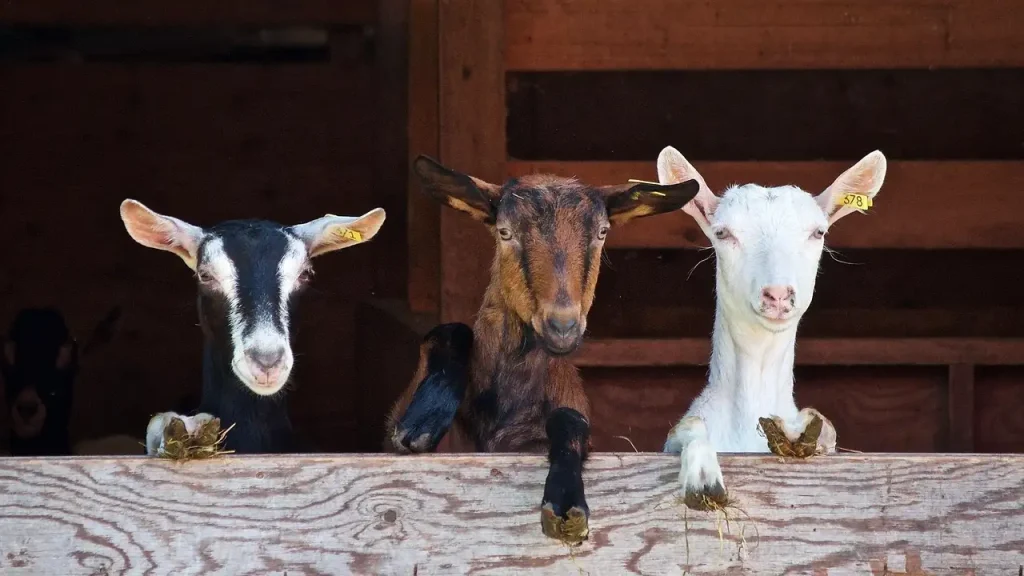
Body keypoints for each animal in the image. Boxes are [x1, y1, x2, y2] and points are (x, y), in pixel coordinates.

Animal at [386, 155, 700, 540]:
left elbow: (570, 420)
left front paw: (565, 501)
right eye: (504, 232)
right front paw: (423, 421)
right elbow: (449, 332)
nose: (562, 326)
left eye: (602, 233)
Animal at [657, 146, 886, 508]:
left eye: (818, 232)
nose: (777, 294)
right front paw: (703, 478)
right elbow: (689, 426)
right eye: (722, 233)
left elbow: (824, 427)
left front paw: (797, 430)